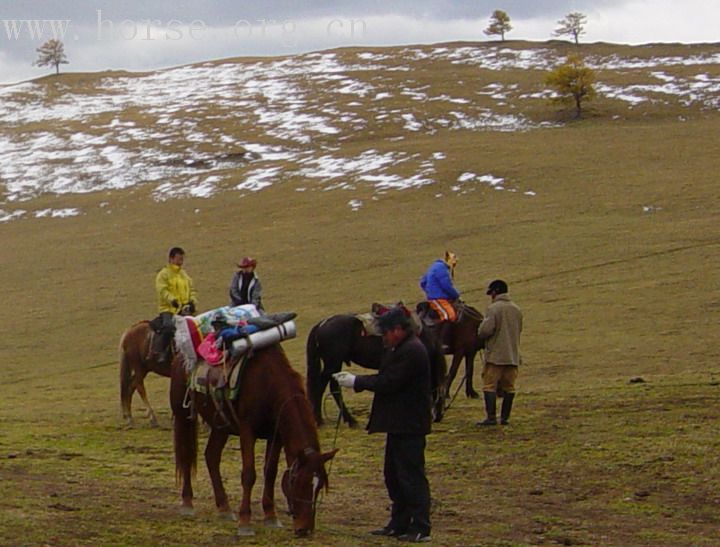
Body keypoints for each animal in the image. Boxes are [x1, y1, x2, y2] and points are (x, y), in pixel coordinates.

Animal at [170, 344, 338, 536]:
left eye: (319, 487)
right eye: (299, 483)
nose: (305, 529)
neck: (268, 384)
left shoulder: (276, 435)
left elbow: (270, 472)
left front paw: (271, 516)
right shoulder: (247, 431)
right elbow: (249, 475)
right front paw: (245, 522)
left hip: (221, 426)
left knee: (211, 456)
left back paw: (224, 507)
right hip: (183, 415)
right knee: (186, 454)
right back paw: (187, 502)